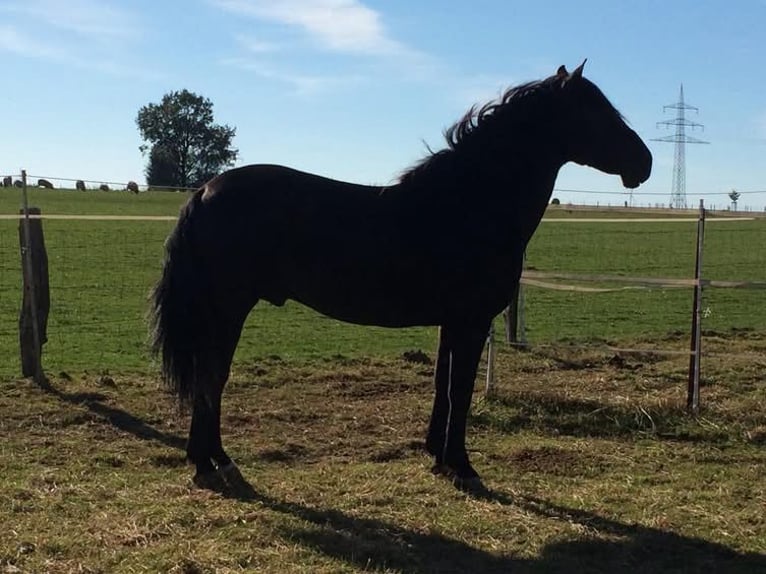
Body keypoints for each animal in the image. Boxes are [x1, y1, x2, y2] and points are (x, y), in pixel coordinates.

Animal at [151, 62, 652, 495]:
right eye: (595, 110)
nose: (643, 162)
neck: (470, 203)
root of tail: (204, 191)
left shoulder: (452, 322)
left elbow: (442, 387)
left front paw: (438, 457)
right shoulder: (471, 322)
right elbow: (460, 392)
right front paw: (463, 467)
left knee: (210, 379)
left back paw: (213, 459)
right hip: (227, 309)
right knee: (211, 378)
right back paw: (210, 463)